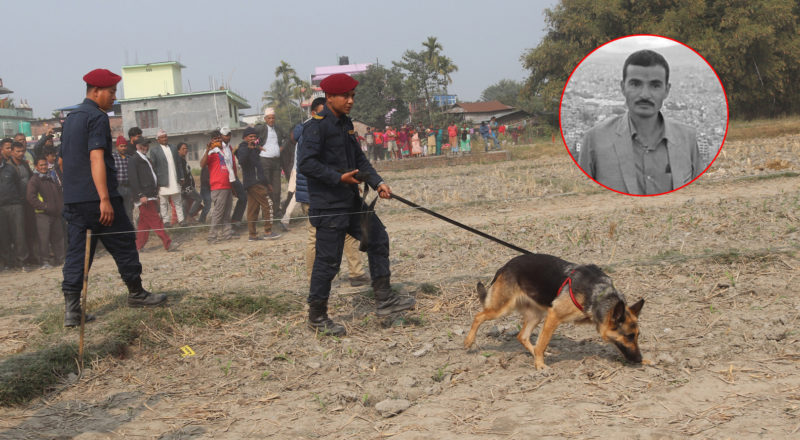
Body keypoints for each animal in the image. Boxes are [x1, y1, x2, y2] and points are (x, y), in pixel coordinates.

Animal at [462, 253, 644, 370]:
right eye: (629, 336)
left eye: (637, 336)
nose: (640, 359)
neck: (599, 293)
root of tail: (505, 266)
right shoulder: (553, 316)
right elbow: (543, 342)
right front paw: (540, 366)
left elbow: (540, 344)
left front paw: (539, 361)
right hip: (502, 309)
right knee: (479, 316)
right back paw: (469, 341)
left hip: (536, 315)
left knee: (522, 336)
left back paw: (536, 353)